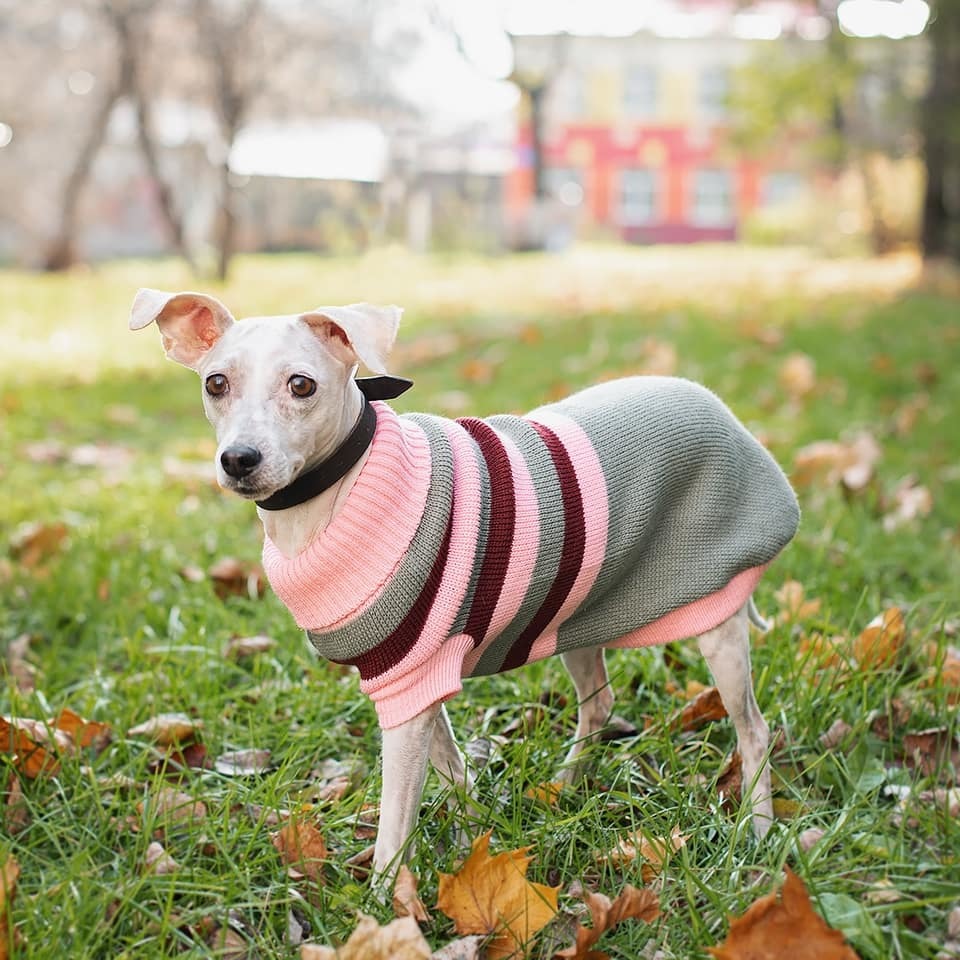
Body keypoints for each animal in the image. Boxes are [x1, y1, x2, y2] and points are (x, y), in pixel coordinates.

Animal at [131, 286, 800, 884]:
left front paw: (387, 910)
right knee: (600, 703)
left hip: (717, 616)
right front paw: (475, 841)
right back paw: (565, 786)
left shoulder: (406, 697)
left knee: (754, 730)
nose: (239, 459)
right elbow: (455, 776)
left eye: (302, 385)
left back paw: (758, 833)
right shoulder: (413, 678)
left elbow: (393, 829)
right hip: (576, 609)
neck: (338, 492)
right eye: (216, 384)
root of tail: (722, 411)